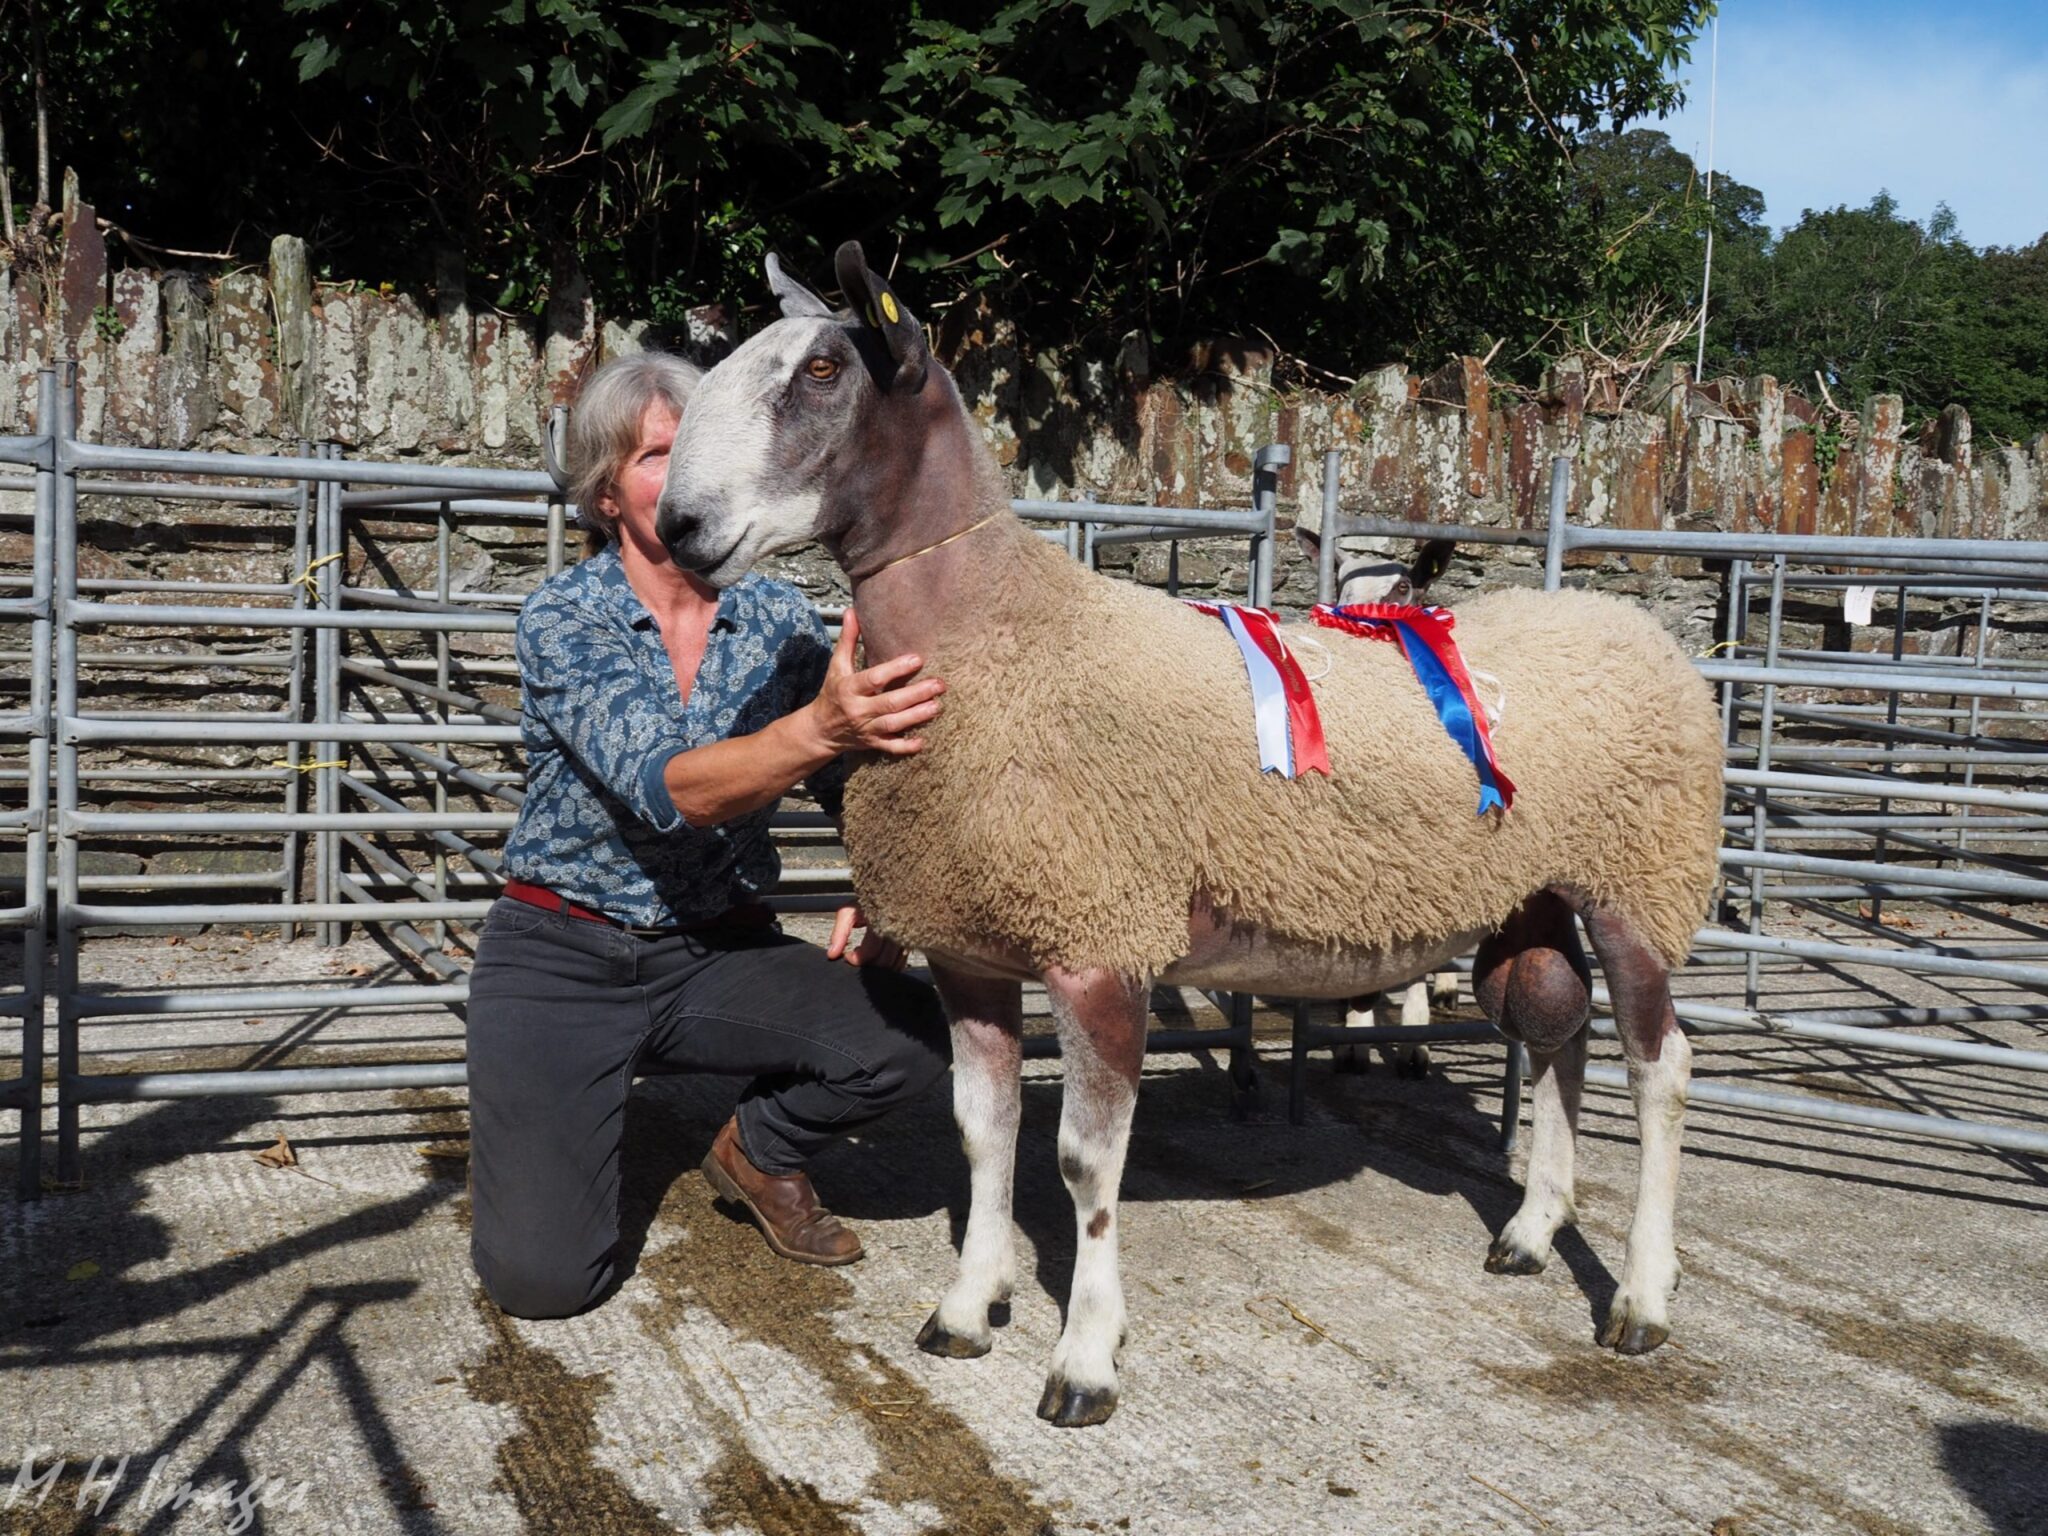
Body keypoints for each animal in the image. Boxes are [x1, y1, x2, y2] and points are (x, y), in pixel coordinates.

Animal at [655, 243, 1728, 1433]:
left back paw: (1640, 1300)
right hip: (1538, 891)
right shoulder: (973, 945)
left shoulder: (1099, 941)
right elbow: (983, 1133)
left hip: (1640, 878)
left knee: (1661, 1067)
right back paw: (1533, 1233)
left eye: (824, 371)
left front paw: (1084, 1360)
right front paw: (967, 1310)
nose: (677, 529)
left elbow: (1084, 1166)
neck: (1005, 639)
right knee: (1556, 1033)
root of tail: (1629, 624)